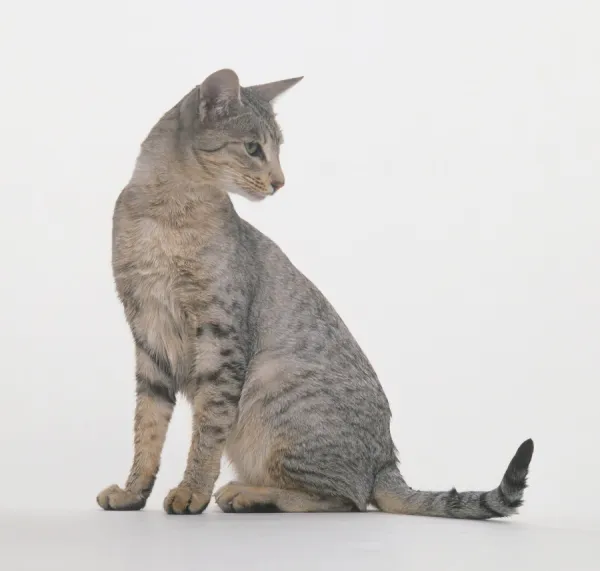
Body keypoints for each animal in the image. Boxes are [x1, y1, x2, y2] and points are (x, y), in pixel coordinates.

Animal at [98, 69, 536, 516]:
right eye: (253, 148)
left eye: (277, 151)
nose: (279, 182)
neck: (165, 212)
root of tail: (385, 462)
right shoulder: (147, 335)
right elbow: (147, 429)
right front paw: (133, 493)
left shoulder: (221, 338)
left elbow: (207, 431)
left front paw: (192, 491)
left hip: (272, 393)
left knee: (345, 498)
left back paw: (247, 493)